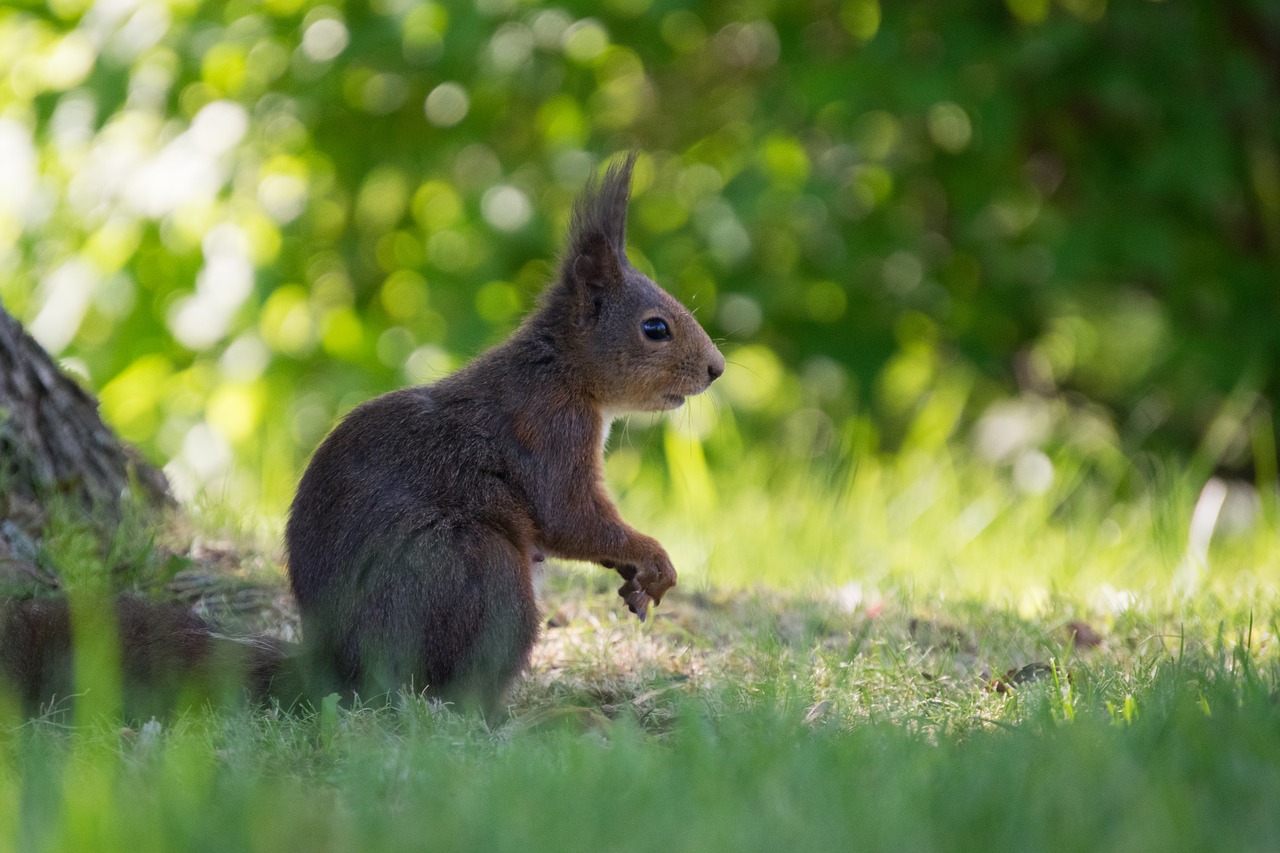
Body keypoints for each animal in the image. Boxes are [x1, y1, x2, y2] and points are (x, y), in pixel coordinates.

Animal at [286, 153, 727, 712]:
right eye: (655, 328)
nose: (716, 369)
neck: (561, 370)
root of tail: (336, 669)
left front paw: (635, 576)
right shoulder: (550, 431)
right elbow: (568, 517)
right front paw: (655, 560)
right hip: (474, 570)